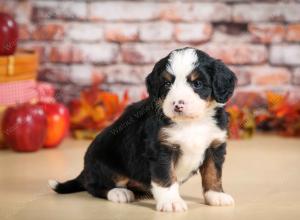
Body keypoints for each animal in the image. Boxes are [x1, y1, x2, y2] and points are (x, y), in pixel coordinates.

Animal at [49, 47, 237, 212]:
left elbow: (213, 173)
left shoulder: (215, 145)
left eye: (197, 83)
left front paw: (216, 195)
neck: (191, 123)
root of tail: (85, 170)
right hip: (104, 162)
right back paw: (119, 193)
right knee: (94, 186)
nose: (177, 104)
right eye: (167, 83)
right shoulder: (161, 149)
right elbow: (165, 177)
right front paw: (171, 202)